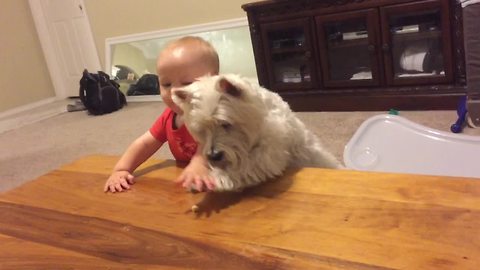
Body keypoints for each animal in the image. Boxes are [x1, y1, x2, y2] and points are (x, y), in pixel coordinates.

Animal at [172, 74, 342, 192]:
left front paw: (218, 178)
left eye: (225, 123)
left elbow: (245, 166)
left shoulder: (270, 153)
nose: (214, 156)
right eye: (201, 130)